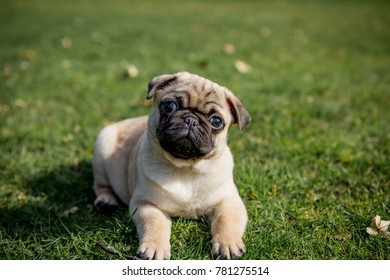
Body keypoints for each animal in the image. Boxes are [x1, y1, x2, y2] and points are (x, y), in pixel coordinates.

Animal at [92, 71, 250, 260]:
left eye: (217, 121)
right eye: (169, 106)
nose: (191, 120)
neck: (185, 169)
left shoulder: (229, 202)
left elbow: (226, 221)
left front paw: (228, 243)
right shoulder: (147, 204)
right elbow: (155, 224)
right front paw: (155, 247)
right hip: (102, 148)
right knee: (100, 184)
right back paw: (106, 200)